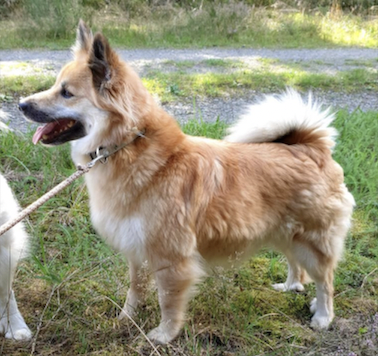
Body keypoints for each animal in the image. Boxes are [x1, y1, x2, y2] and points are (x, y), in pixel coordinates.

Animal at [17, 20, 354, 344]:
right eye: (55, 86)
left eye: (66, 92)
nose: (21, 104)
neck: (126, 147)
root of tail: (311, 147)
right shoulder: (136, 248)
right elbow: (135, 289)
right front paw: (127, 318)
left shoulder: (171, 258)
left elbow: (168, 300)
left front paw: (164, 335)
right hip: (286, 232)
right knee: (297, 265)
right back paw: (291, 285)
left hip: (313, 241)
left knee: (325, 280)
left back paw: (323, 316)